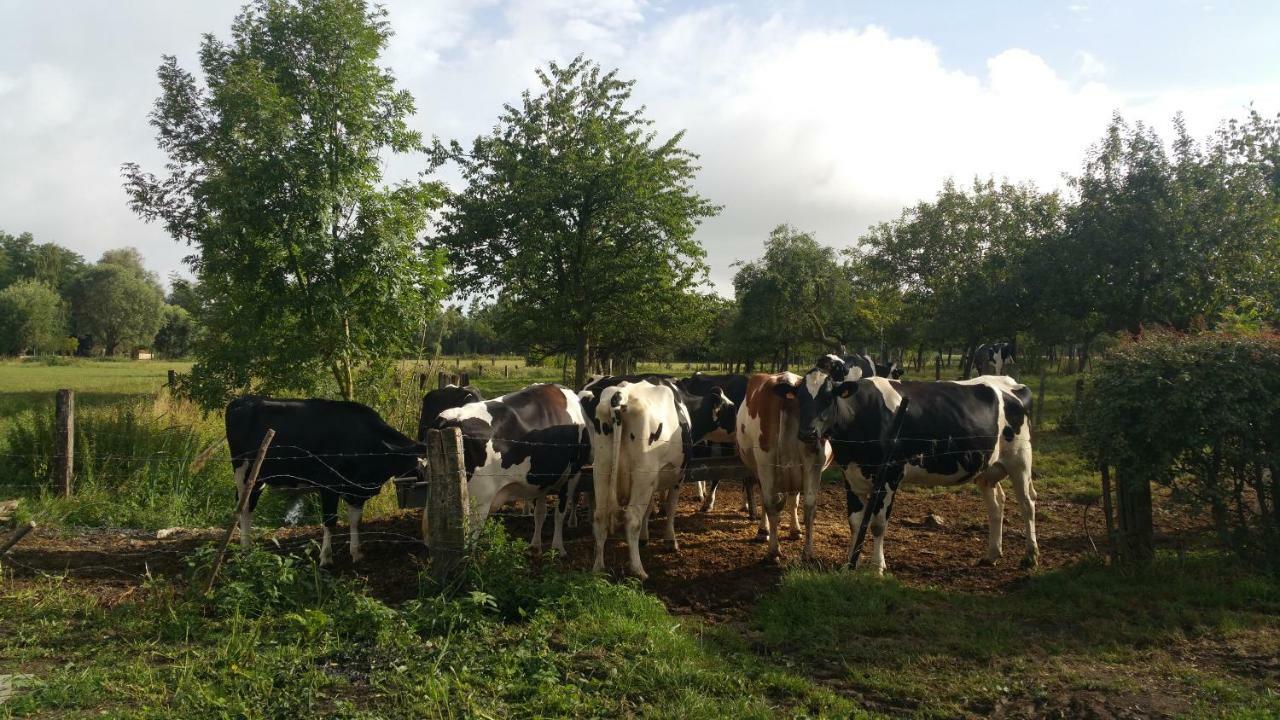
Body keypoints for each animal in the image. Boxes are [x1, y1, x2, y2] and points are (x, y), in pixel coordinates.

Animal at [226, 394, 424, 563]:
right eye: (418, 465)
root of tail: (242, 400)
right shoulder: (329, 485)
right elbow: (330, 521)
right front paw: (326, 557)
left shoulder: (356, 489)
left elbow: (356, 521)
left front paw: (356, 552)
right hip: (243, 471)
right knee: (244, 507)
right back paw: (245, 549)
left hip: (259, 477)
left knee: (249, 505)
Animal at [424, 381, 593, 548]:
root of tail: (448, 420)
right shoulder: (573, 472)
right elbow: (559, 513)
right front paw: (558, 547)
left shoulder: (541, 477)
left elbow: (540, 513)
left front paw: (535, 545)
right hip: (477, 502)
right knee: (467, 542)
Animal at [586, 376, 696, 576]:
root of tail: (621, 394)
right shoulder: (678, 475)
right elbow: (671, 507)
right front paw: (670, 541)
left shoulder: (654, 481)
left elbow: (650, 507)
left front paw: (645, 538)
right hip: (643, 473)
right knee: (632, 518)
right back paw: (638, 569)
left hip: (602, 469)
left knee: (600, 517)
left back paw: (598, 567)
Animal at [737, 368, 834, 561]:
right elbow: (792, 500)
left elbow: (792, 501)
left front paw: (792, 531)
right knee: (793, 504)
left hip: (769, 464)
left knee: (775, 502)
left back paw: (775, 549)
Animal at [788, 358, 1039, 571]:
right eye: (800, 399)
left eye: (828, 398)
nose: (807, 433)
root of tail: (1012, 383)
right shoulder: (850, 474)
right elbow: (855, 522)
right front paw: (850, 563)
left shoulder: (890, 474)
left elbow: (878, 524)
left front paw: (877, 567)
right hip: (987, 468)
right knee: (997, 504)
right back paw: (992, 554)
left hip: (1020, 459)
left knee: (1027, 503)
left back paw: (1030, 556)